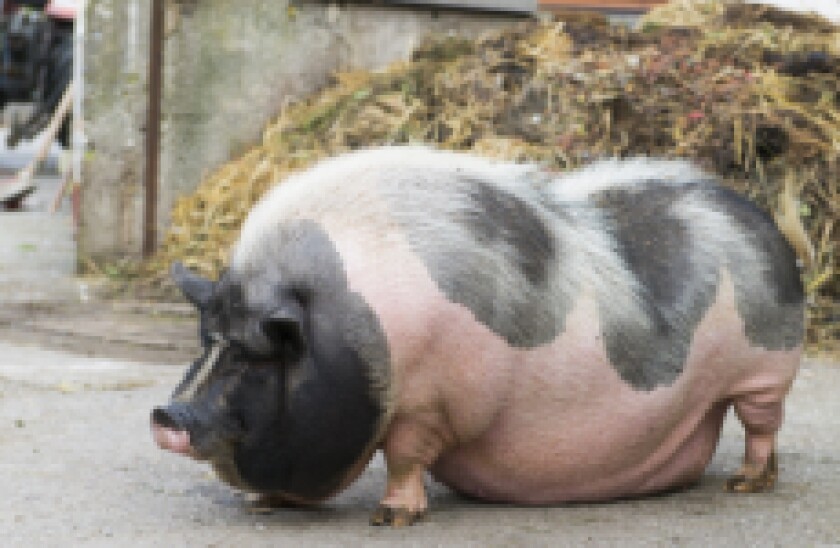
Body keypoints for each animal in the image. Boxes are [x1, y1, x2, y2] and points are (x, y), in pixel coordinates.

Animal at [151, 146, 808, 526]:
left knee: (762, 426)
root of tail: (759, 216)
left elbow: (405, 454)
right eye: (207, 338)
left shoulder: (429, 400)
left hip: (767, 369)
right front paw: (262, 502)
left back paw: (746, 484)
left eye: (256, 355)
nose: (166, 414)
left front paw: (390, 519)